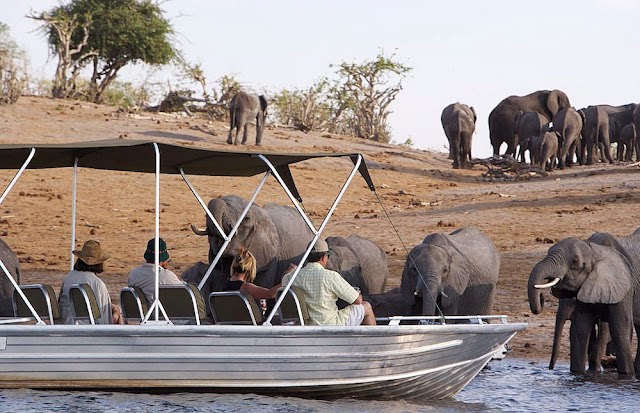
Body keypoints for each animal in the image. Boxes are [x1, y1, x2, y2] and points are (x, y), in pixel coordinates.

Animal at [524, 237, 640, 378]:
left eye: (575, 261)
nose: (541, 296)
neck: (595, 251)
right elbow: (580, 329)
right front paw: (578, 374)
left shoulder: (623, 289)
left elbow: (619, 329)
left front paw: (626, 375)